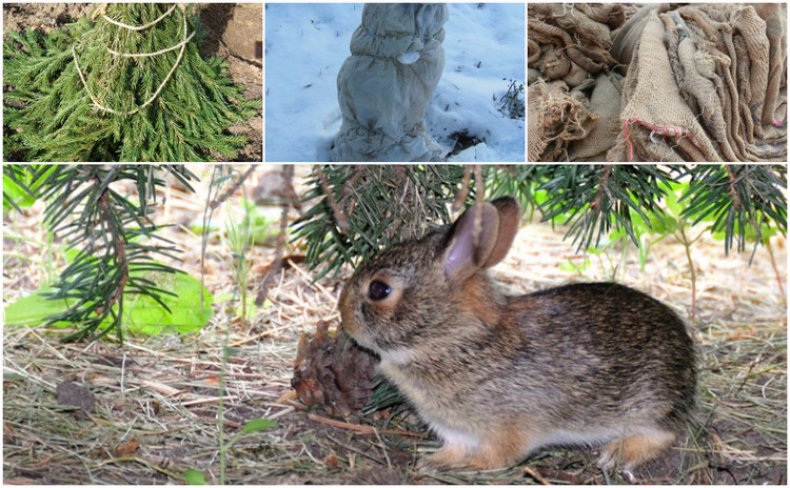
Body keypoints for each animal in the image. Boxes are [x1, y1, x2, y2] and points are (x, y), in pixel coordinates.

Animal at [338, 196, 696, 474]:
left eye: (379, 289)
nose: (342, 315)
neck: (453, 341)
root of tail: (687, 355)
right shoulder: (454, 430)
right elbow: (453, 448)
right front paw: (436, 462)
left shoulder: (508, 426)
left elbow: (498, 455)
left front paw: (469, 466)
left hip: (651, 405)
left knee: (664, 433)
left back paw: (616, 454)